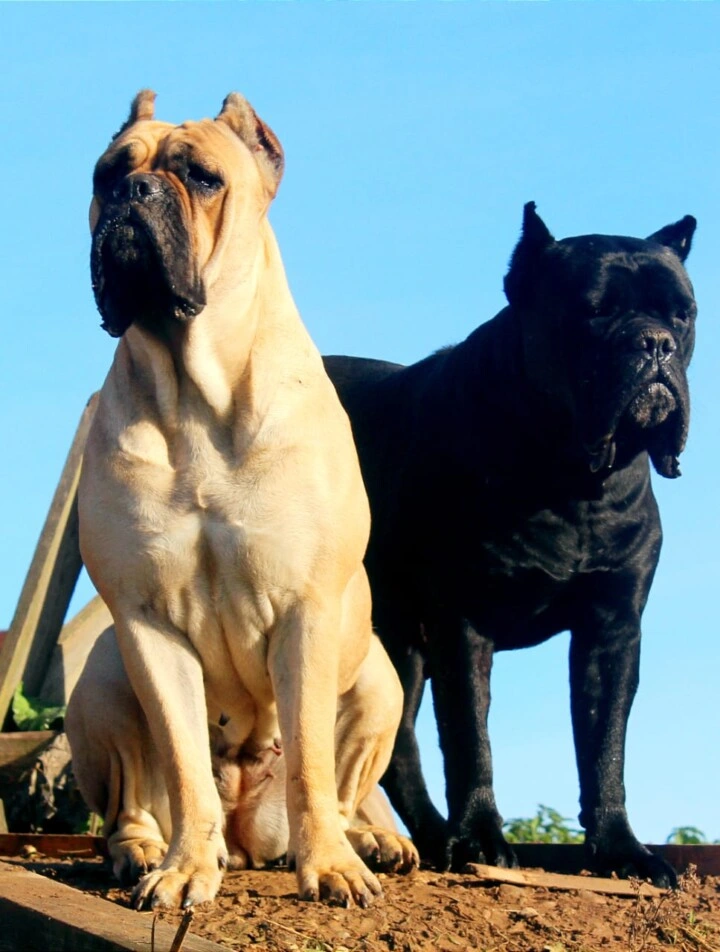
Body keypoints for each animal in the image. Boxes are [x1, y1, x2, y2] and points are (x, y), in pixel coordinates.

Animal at [324, 203, 696, 887]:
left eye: (683, 313)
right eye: (594, 310)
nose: (653, 342)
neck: (573, 481)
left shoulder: (611, 630)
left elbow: (604, 745)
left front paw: (621, 849)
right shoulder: (463, 622)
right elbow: (471, 738)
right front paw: (480, 839)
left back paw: (431, 838)